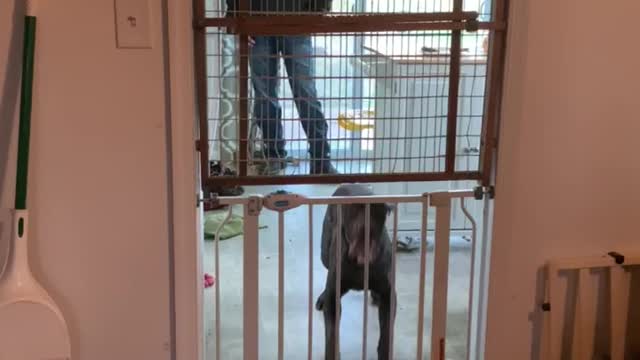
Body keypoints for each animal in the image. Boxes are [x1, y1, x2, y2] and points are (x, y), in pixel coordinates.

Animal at [316, 184, 396, 358]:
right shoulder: (333, 299)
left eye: (377, 215)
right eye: (352, 212)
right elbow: (331, 336)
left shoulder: (389, 295)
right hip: (324, 254)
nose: (363, 250)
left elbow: (386, 332)